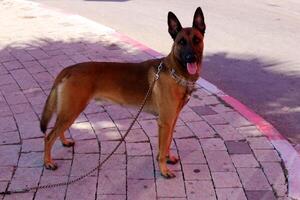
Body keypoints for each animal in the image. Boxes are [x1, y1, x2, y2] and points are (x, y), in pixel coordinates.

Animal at [40, 7, 206, 178]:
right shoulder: (165, 122)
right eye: (181, 42)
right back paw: (48, 162)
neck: (175, 71)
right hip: (71, 111)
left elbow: (167, 143)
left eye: (196, 40)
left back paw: (64, 142)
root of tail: (69, 69)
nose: (191, 57)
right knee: (49, 137)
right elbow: (162, 147)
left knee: (58, 130)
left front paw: (168, 158)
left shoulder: (172, 120)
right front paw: (163, 170)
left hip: (68, 112)